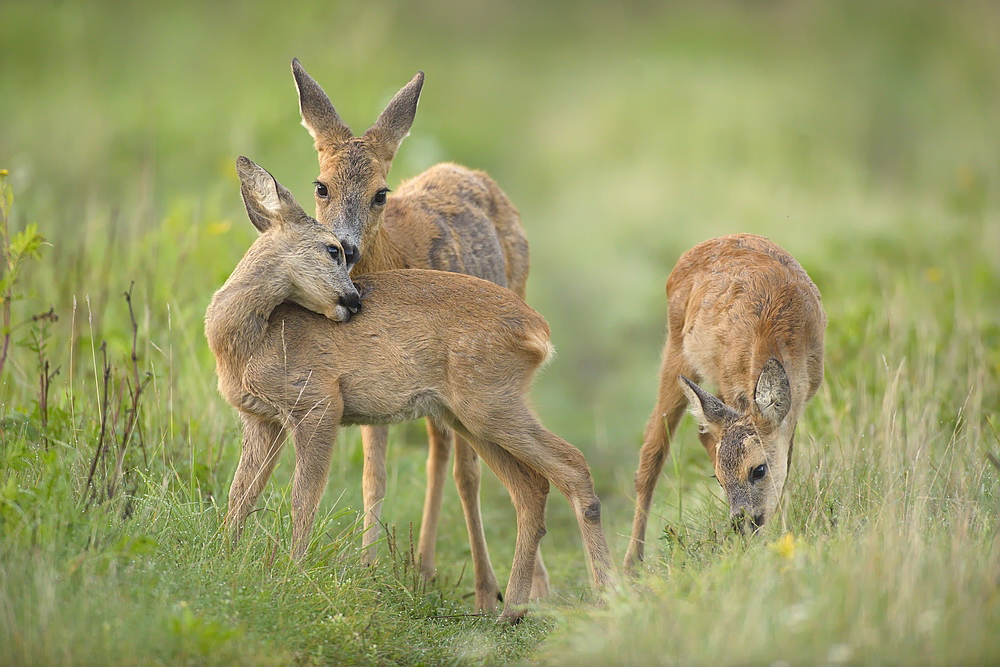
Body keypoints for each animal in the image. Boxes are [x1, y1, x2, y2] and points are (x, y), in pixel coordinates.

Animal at [206, 158, 608, 628]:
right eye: (331, 250)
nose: (355, 301)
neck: (254, 340)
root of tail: (539, 332)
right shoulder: (261, 418)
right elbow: (241, 494)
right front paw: (224, 560)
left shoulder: (319, 403)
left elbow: (302, 498)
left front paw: (292, 574)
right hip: (469, 415)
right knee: (531, 487)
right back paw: (511, 610)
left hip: (490, 403)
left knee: (572, 464)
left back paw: (604, 594)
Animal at [286, 58, 552, 600]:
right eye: (321, 186)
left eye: (380, 194)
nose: (344, 248)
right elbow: (374, 474)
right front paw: (367, 568)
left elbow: (469, 474)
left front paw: (487, 590)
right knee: (438, 450)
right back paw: (425, 566)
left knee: (462, 459)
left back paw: (517, 584)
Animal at [624, 235, 828, 568]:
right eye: (718, 479)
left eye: (758, 470)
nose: (741, 522)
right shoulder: (733, 383)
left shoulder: (795, 405)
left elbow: (786, 461)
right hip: (678, 352)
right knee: (653, 450)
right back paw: (631, 565)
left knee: (703, 432)